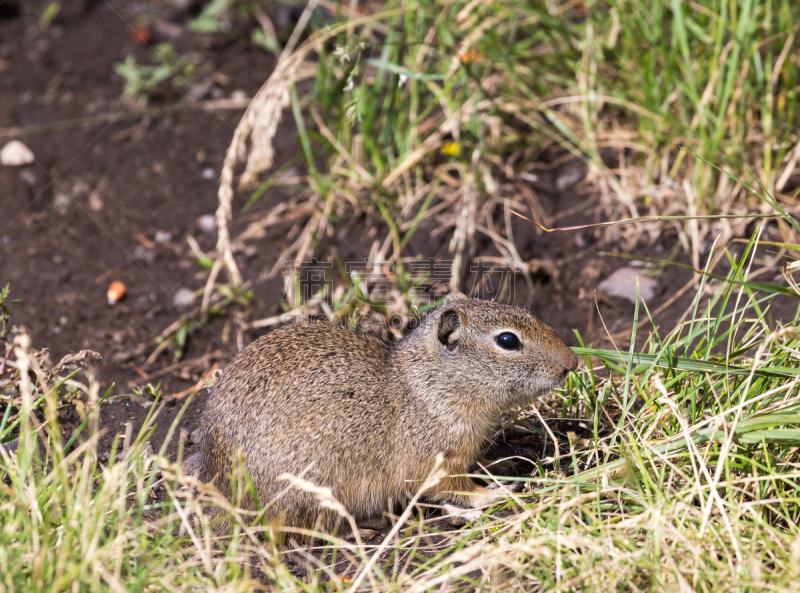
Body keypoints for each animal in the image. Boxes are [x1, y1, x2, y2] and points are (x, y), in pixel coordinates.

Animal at [196, 292, 580, 532]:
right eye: (507, 340)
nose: (572, 363)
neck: (431, 385)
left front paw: (504, 463)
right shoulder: (433, 463)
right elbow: (457, 490)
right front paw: (496, 492)